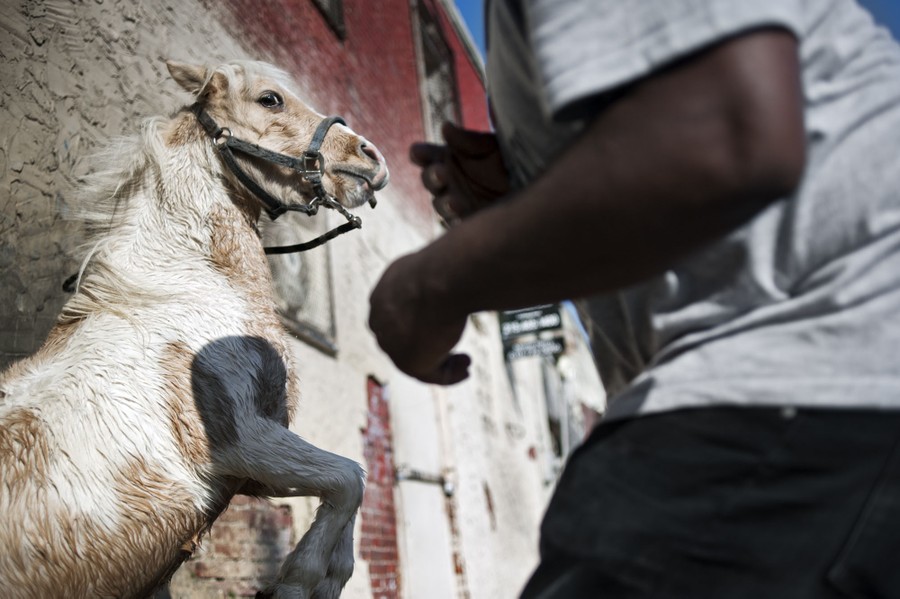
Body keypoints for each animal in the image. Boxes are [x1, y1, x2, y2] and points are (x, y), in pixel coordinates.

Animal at [0, 58, 389, 598]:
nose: (370, 157)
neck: (185, 286)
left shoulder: (247, 477)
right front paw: (297, 582)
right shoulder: (243, 440)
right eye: (270, 99)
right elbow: (348, 477)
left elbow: (349, 488)